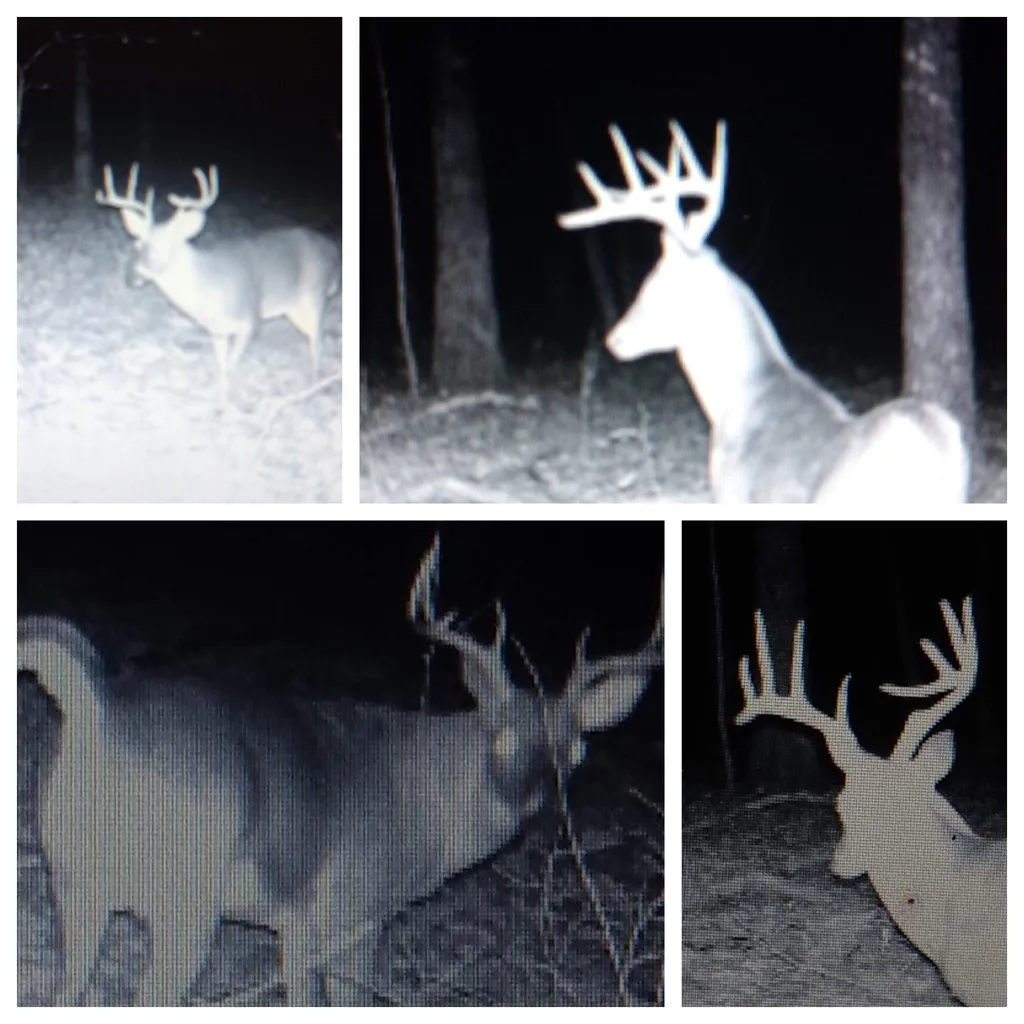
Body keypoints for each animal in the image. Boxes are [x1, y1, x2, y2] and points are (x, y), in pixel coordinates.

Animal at [17, 536, 662, 1005]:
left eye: (575, 753)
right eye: (498, 736)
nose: (529, 801)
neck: (425, 805)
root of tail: (99, 706)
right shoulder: (350, 911)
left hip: (72, 876)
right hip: (185, 897)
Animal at [95, 163, 340, 408]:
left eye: (169, 245)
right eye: (137, 243)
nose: (133, 276)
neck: (206, 288)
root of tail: (332, 248)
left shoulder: (250, 320)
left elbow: (231, 365)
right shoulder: (216, 330)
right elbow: (222, 366)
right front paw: (220, 398)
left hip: (314, 294)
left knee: (317, 339)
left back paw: (313, 384)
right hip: (293, 309)